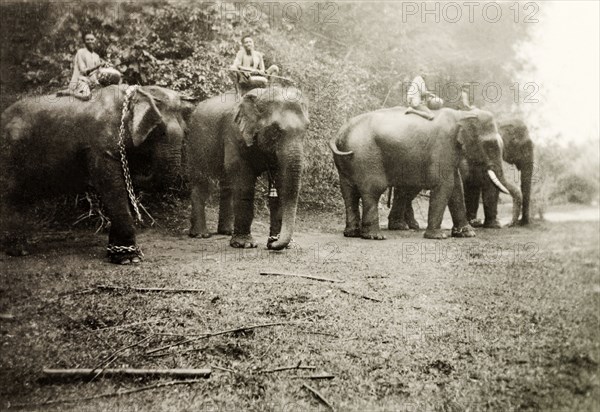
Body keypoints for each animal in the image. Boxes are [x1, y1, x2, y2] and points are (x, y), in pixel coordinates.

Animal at [1, 84, 196, 264]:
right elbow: (112, 187)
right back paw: (18, 251)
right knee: (10, 194)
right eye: (158, 131)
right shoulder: (99, 146)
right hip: (10, 152)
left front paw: (117, 253)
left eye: (186, 131)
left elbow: (123, 185)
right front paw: (129, 259)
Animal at [186, 85, 310, 249]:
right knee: (202, 181)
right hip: (197, 140)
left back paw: (226, 231)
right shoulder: (234, 134)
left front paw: (279, 243)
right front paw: (245, 244)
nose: (273, 243)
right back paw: (200, 234)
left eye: (306, 128)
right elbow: (243, 181)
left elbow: (279, 184)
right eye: (275, 130)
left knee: (226, 185)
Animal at [330, 108, 524, 240]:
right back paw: (375, 236)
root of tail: (340, 134)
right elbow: (445, 184)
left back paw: (352, 233)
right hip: (366, 154)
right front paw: (438, 236)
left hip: (347, 160)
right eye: (490, 145)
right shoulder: (443, 145)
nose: (509, 224)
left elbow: (456, 187)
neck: (462, 114)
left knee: (348, 192)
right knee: (373, 189)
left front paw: (468, 233)